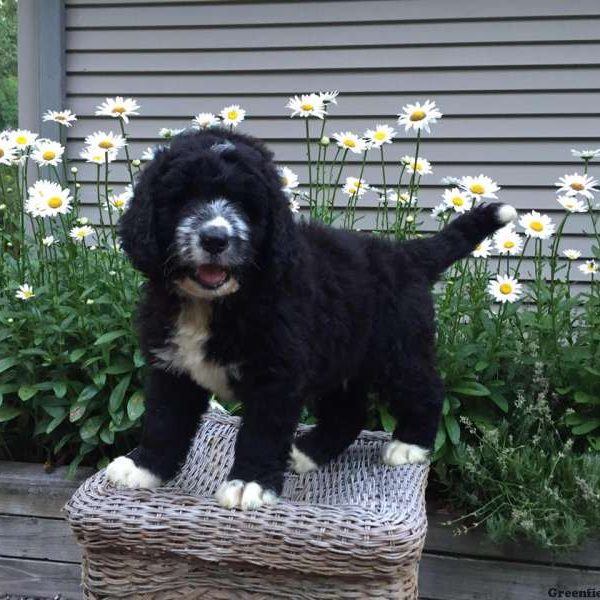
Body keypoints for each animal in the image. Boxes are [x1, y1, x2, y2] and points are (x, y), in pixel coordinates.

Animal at [104, 127, 516, 510]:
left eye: (246, 204)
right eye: (184, 197)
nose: (216, 239)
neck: (218, 302)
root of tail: (404, 254)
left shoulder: (275, 376)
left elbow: (261, 432)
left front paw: (249, 483)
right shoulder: (171, 367)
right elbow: (164, 421)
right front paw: (143, 467)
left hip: (397, 352)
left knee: (426, 390)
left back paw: (409, 445)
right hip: (341, 360)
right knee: (347, 414)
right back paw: (306, 453)